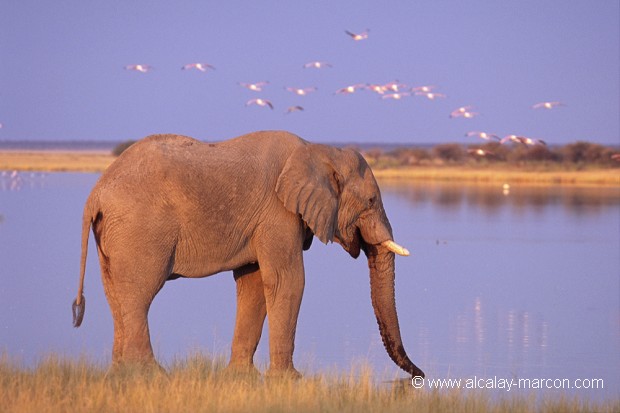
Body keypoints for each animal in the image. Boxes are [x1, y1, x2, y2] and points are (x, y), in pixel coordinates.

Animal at [70, 131, 424, 376]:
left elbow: (254, 285)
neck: (318, 149)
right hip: (139, 230)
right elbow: (288, 280)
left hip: (114, 234)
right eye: (371, 201)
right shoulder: (278, 214)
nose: (419, 375)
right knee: (139, 294)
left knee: (116, 294)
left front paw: (242, 377)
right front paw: (290, 380)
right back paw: (151, 375)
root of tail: (95, 194)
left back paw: (122, 374)